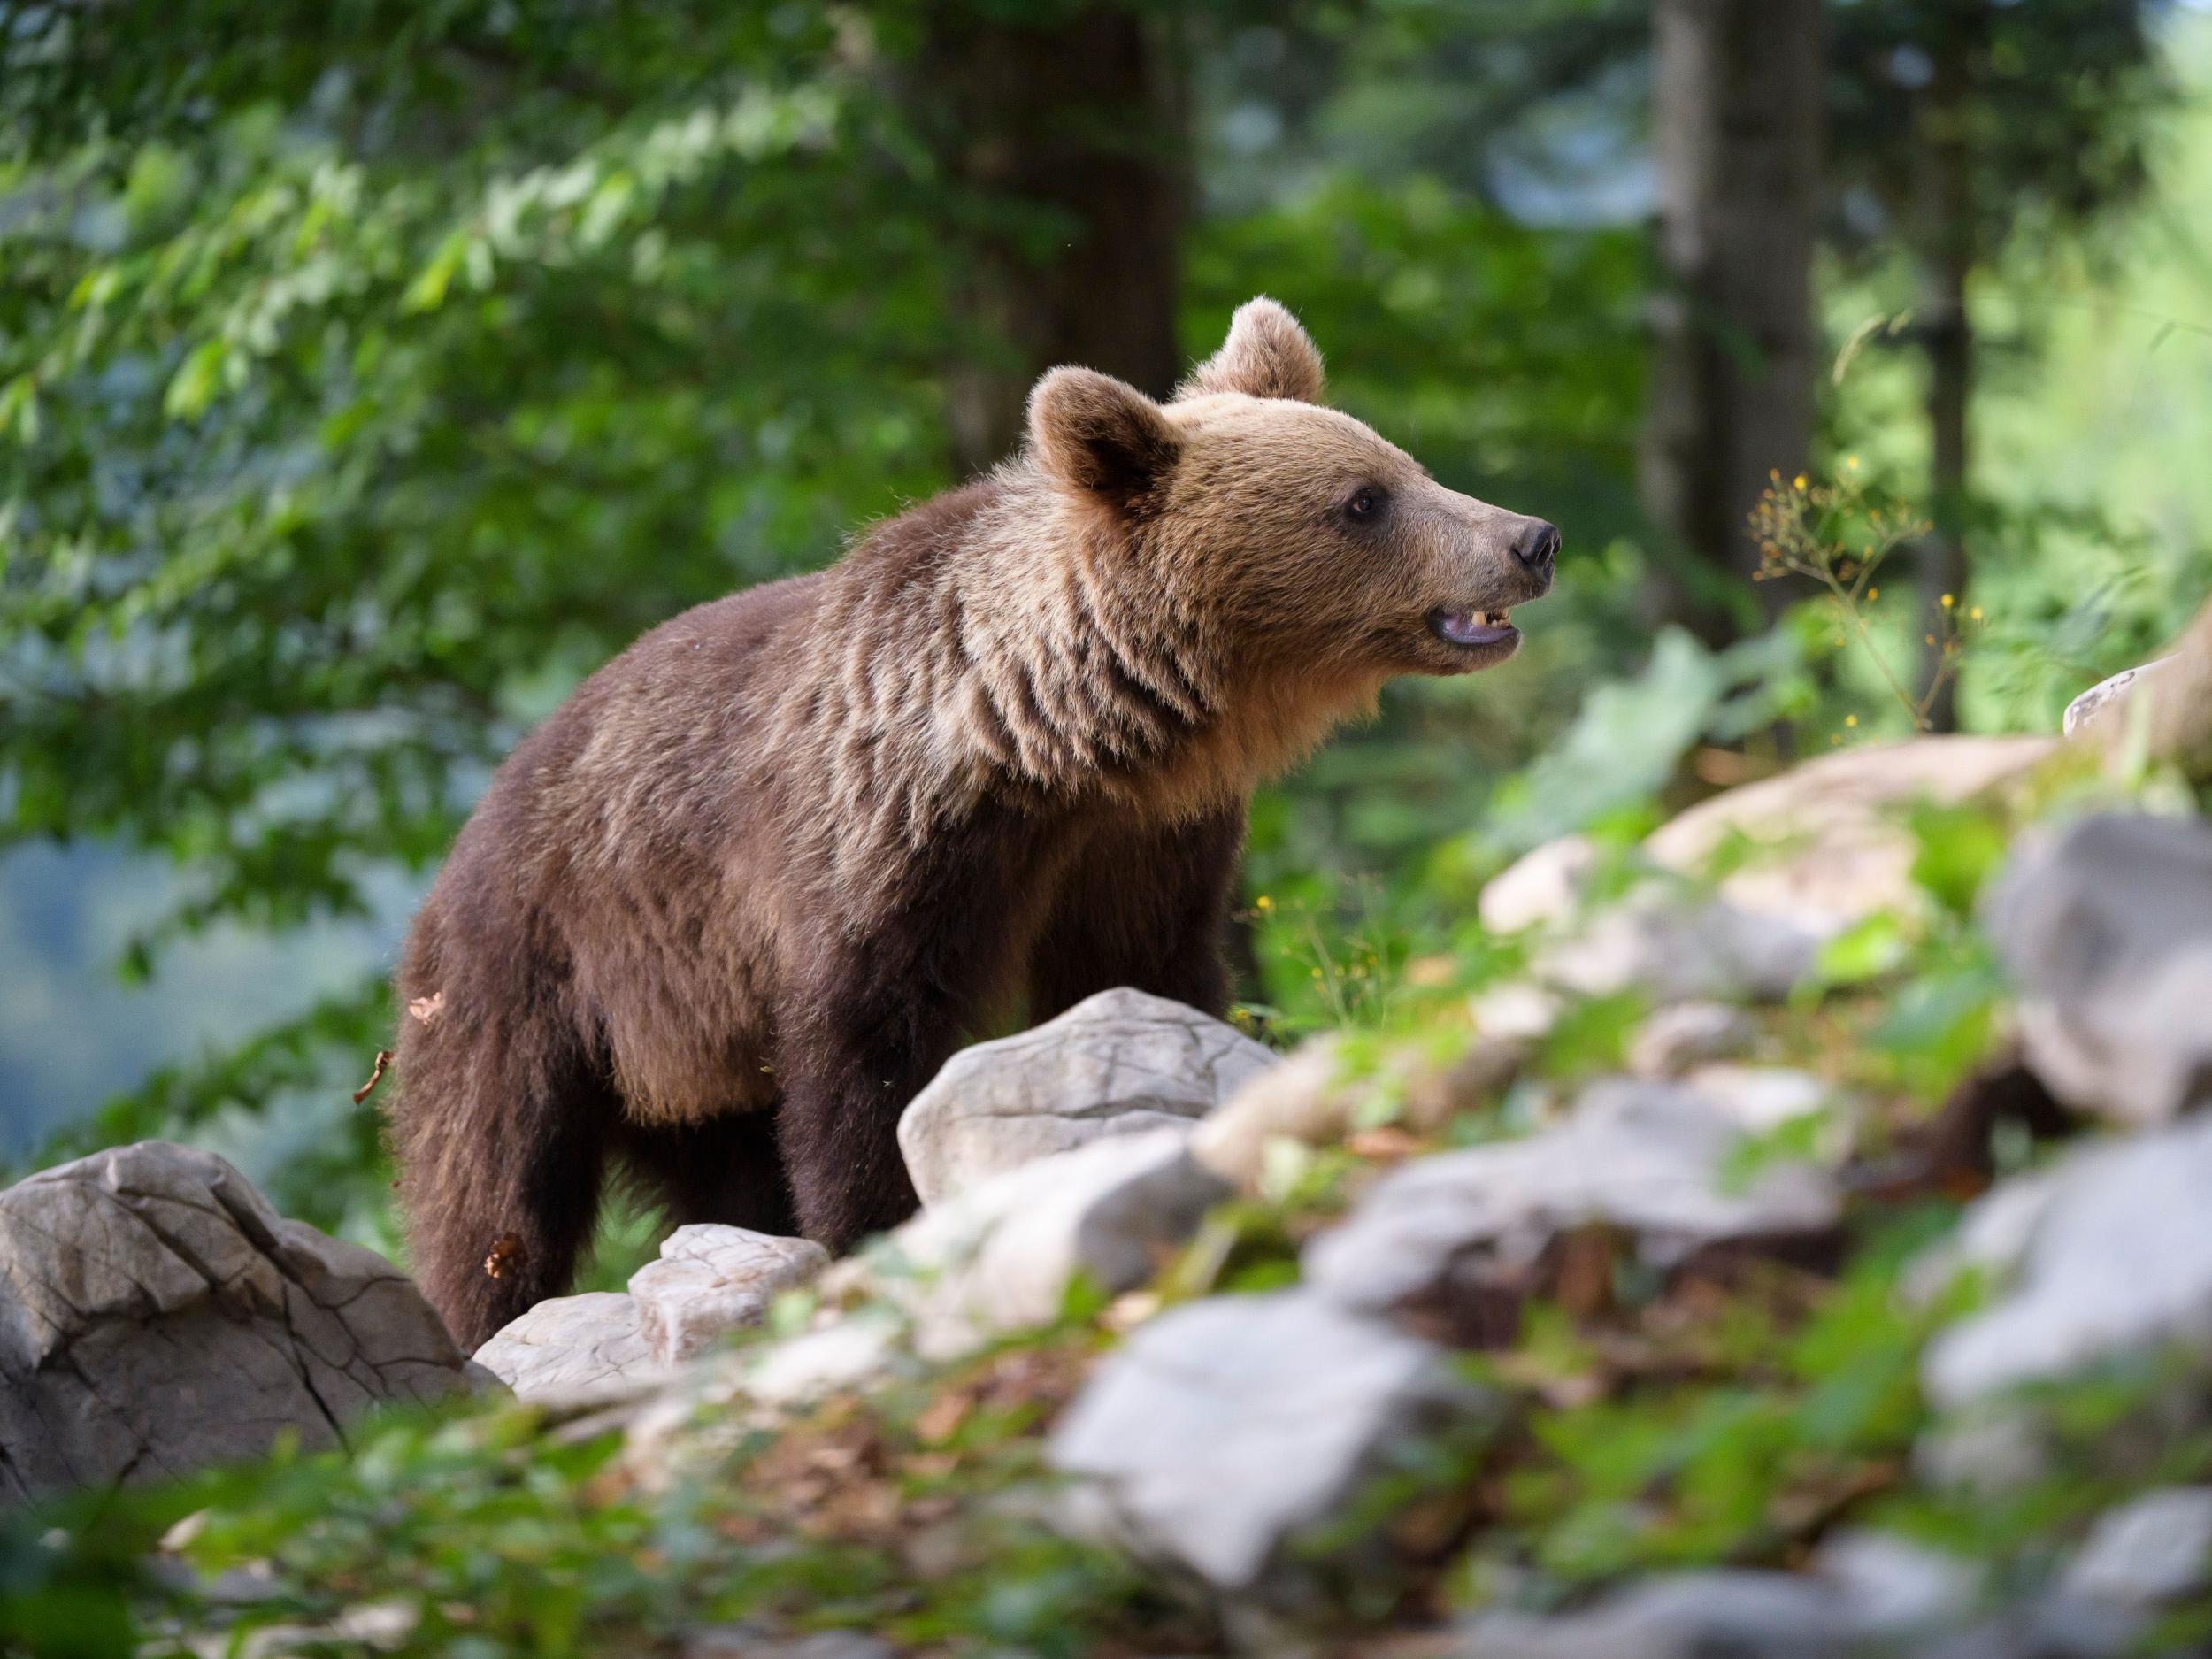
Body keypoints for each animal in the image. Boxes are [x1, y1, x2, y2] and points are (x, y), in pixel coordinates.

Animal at [388, 298, 1559, 1351]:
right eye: (1362, 501)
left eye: (1403, 464)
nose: (1530, 538)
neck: (1049, 744)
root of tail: (459, 850)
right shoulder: (881, 847)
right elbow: (866, 1052)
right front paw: (874, 1229)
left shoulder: (1144, 847)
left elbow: (1144, 979)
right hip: (541, 977)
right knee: (491, 1184)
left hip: (688, 1050)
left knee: (716, 1173)